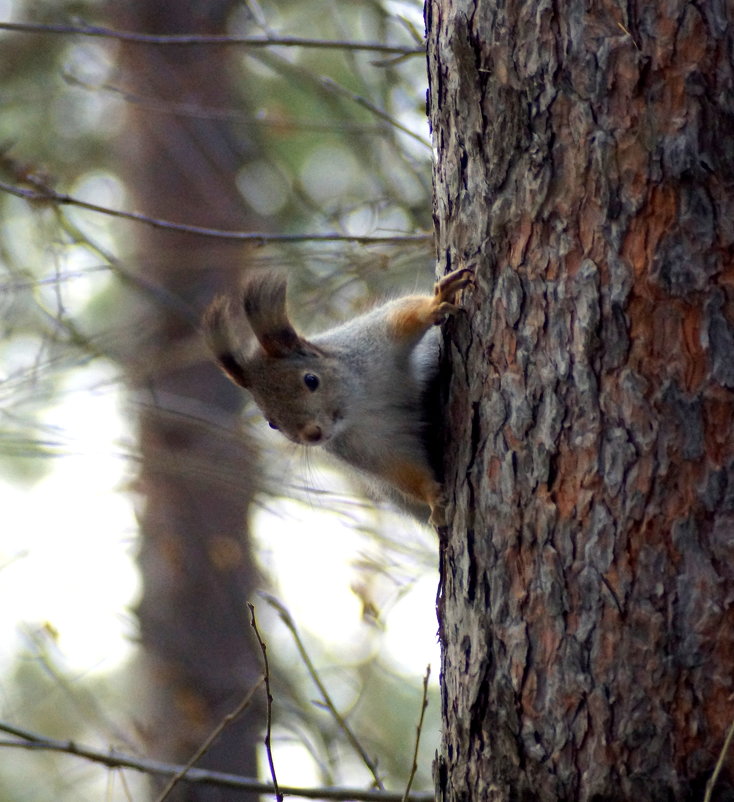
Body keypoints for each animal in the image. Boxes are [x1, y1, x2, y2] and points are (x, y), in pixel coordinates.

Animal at [204, 264, 474, 524]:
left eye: (311, 380)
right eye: (272, 423)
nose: (312, 434)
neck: (360, 403)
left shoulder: (371, 340)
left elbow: (405, 315)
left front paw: (436, 302)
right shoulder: (365, 448)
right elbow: (403, 472)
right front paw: (433, 498)